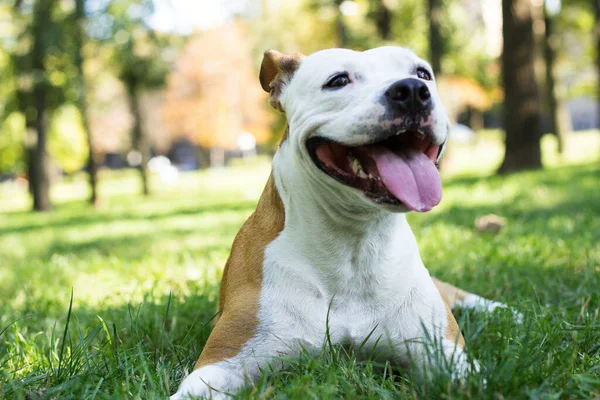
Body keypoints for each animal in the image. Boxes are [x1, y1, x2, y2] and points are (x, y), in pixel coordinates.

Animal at [171, 47, 508, 400]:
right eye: (338, 80)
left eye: (422, 74)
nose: (413, 90)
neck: (354, 241)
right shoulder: (221, 362)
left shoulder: (447, 354)